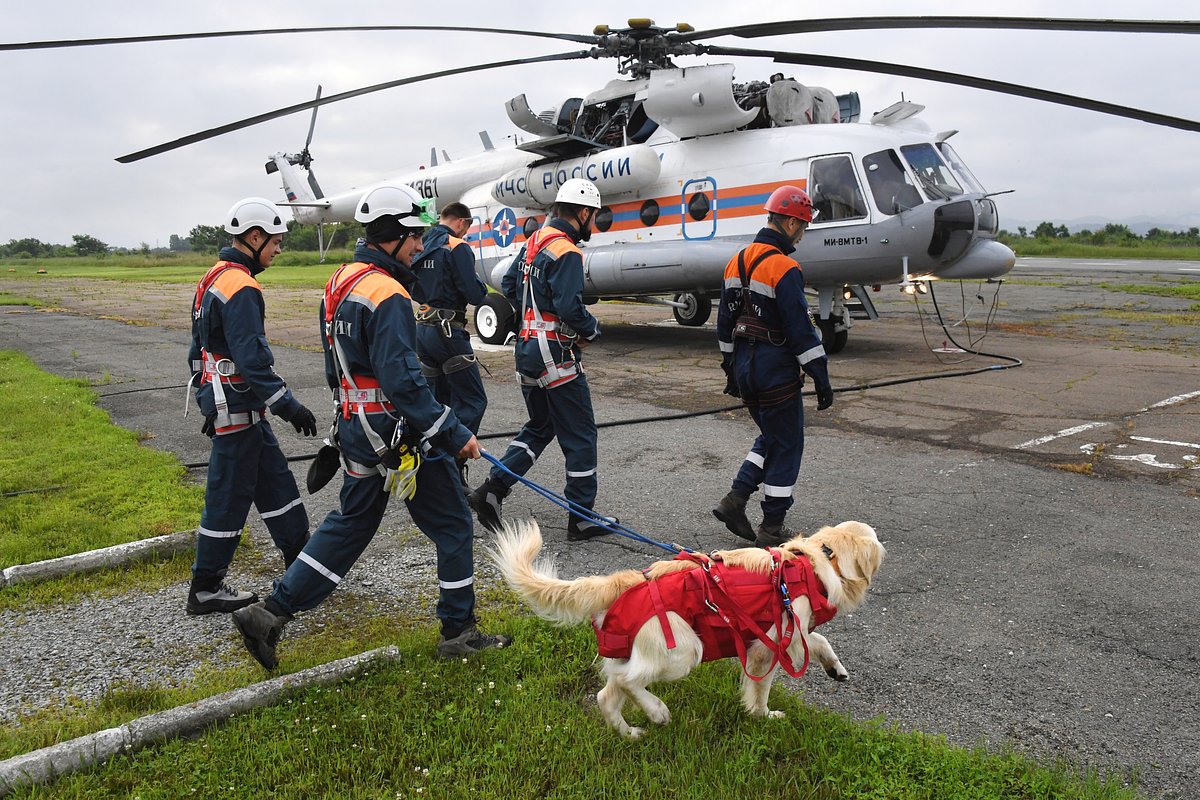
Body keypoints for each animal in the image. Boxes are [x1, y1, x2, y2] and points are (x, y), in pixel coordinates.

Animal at [489, 520, 892, 738]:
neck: (818, 561)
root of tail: (626, 580)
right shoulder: (775, 641)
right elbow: (768, 681)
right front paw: (763, 715)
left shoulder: (778, 637)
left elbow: (819, 639)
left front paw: (835, 668)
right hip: (683, 650)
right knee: (629, 681)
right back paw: (657, 712)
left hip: (634, 653)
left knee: (608, 692)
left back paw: (632, 733)